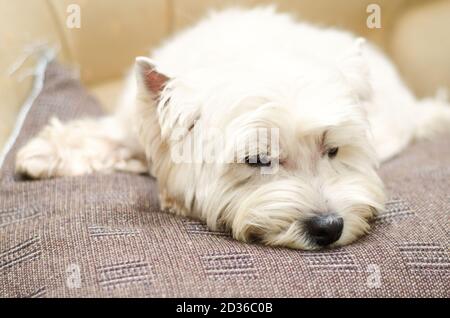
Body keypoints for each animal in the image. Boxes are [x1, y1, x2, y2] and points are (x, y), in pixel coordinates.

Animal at [14, 7, 450, 250]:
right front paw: (39, 154)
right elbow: (101, 136)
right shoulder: (131, 125)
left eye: (333, 150)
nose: (329, 227)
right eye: (257, 159)